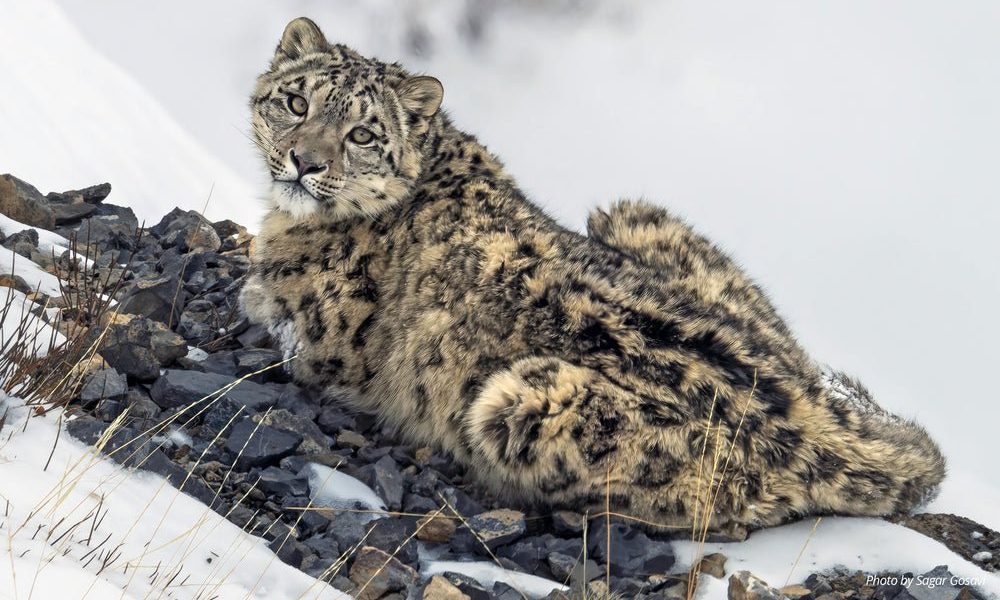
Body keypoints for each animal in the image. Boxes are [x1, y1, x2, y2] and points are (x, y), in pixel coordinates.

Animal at [240, 17, 945, 534]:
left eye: (363, 134)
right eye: (296, 102)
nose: (304, 162)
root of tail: (816, 417)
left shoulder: (321, 341)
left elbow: (266, 309)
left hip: (519, 402)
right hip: (636, 214)